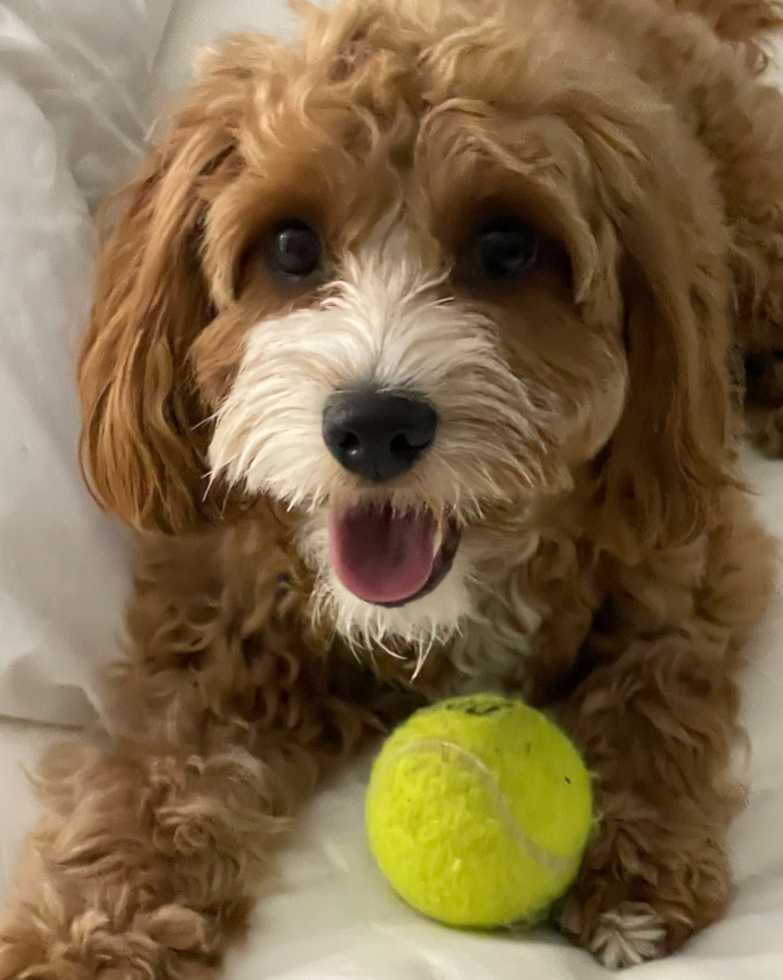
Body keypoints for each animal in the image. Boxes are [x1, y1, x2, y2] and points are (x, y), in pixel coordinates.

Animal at [1, 0, 783, 976]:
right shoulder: (216, 627)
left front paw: (636, 872)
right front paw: (89, 933)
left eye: (506, 246)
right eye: (291, 244)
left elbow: (656, 687)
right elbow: (155, 773)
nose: (374, 426)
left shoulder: (690, 554)